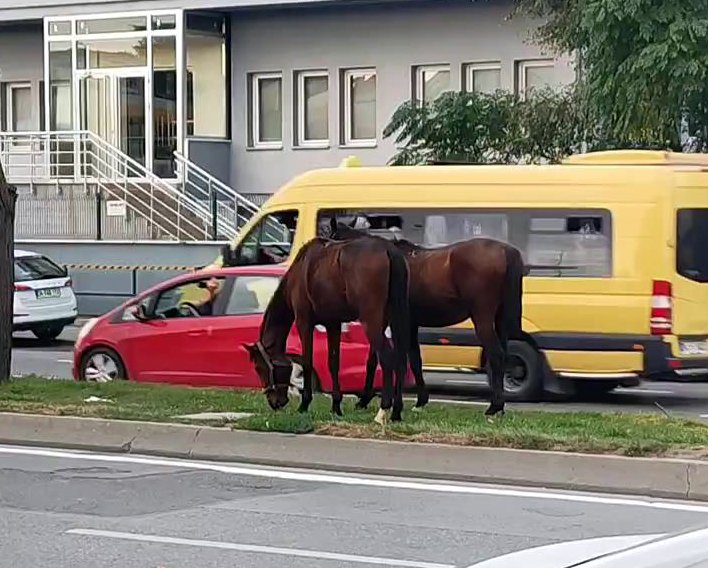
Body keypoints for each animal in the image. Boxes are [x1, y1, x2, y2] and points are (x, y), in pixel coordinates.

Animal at [230, 234, 412, 422]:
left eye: (259, 368)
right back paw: (396, 411)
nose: (275, 402)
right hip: (392, 318)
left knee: (388, 359)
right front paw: (336, 405)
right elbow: (333, 363)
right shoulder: (333, 324)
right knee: (400, 359)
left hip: (372, 321)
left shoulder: (304, 322)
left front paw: (304, 404)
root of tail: (388, 250)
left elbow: (307, 361)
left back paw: (383, 410)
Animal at [332, 222, 524, 418]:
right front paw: (418, 400)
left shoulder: (394, 322)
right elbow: (408, 359)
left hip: (482, 318)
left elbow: (396, 358)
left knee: (496, 355)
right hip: (500, 320)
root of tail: (506, 251)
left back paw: (494, 406)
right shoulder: (406, 323)